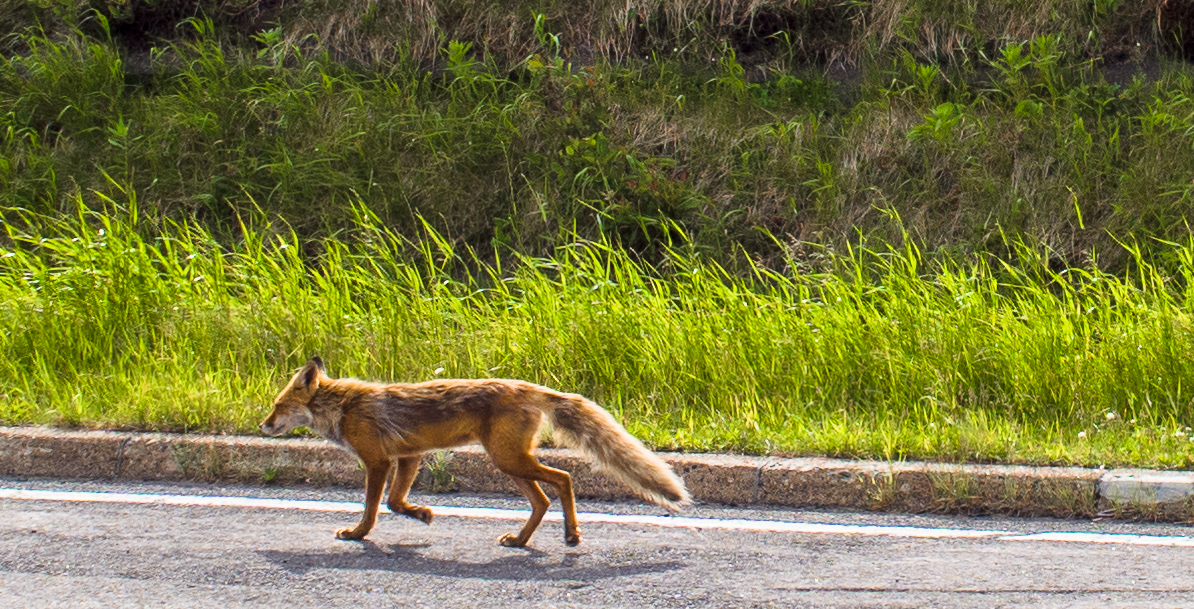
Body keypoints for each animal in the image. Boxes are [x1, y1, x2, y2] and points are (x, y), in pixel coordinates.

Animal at [259, 356, 690, 547]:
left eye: (277, 406)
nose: (262, 426)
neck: (344, 407)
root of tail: (527, 386)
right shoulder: (409, 456)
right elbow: (396, 503)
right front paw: (421, 514)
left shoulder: (378, 462)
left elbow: (373, 508)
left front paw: (357, 534)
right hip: (510, 464)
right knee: (542, 501)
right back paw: (520, 541)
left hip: (510, 460)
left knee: (564, 479)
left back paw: (571, 534)